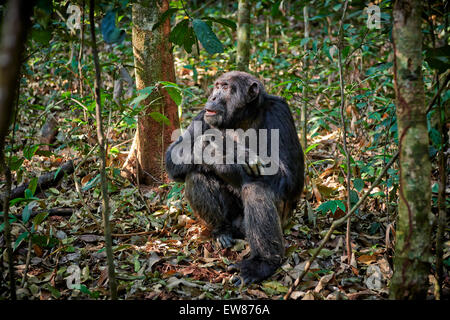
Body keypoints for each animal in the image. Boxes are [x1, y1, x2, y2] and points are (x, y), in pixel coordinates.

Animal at [163, 70, 304, 284]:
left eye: (226, 88)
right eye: (217, 86)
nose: (213, 97)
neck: (242, 118)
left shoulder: (279, 113)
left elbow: (290, 176)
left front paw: (223, 149)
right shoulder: (202, 117)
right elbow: (174, 152)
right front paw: (222, 149)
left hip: (276, 221)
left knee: (256, 189)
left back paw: (262, 264)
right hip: (232, 218)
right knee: (195, 176)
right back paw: (221, 231)